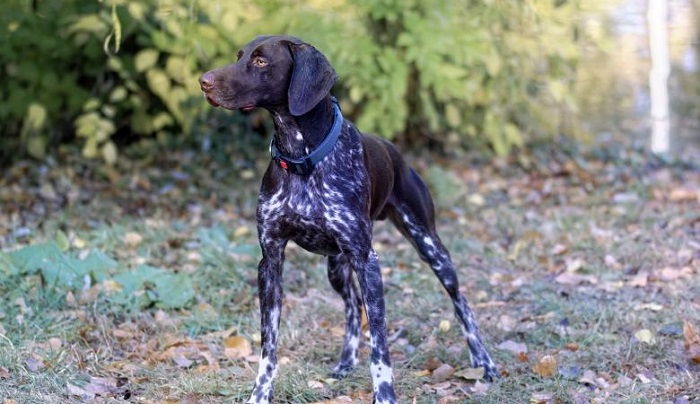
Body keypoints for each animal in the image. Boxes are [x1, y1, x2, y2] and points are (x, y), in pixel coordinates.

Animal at [200, 35, 500, 404]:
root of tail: (395, 153)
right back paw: (345, 361)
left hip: (430, 247)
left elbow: (380, 346)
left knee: (460, 303)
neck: (302, 159)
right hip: (336, 267)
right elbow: (269, 345)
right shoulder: (270, 262)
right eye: (239, 56)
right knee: (353, 307)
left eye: (260, 61)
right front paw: (260, 394)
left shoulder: (366, 261)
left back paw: (482, 361)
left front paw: (384, 395)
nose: (204, 82)